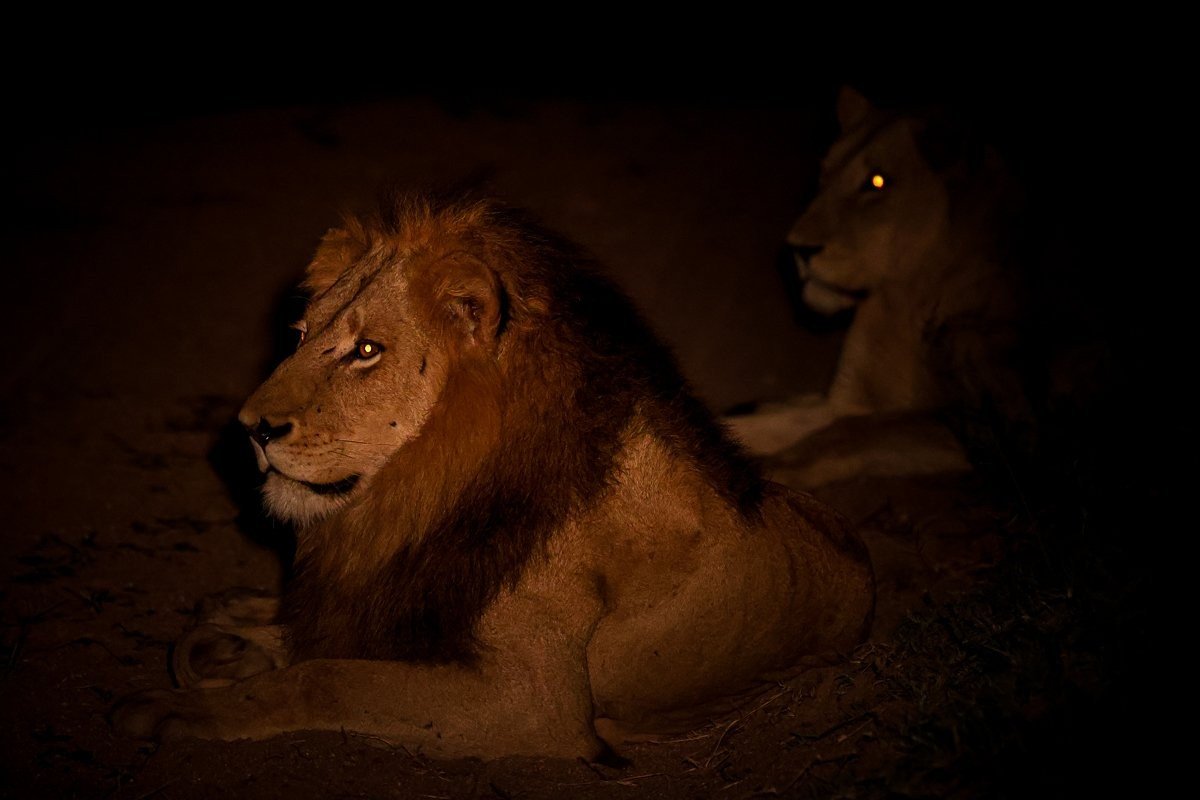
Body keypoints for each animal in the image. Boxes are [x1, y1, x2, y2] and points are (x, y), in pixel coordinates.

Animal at [112, 194, 874, 760]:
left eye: (367, 351)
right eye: (299, 336)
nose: (250, 428)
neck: (427, 486)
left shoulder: (535, 699)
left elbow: (323, 679)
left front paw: (183, 709)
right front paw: (230, 648)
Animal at [727, 88, 1029, 485]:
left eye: (877, 182)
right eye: (824, 174)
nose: (797, 249)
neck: (910, 300)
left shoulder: (981, 432)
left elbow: (845, 434)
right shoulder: (853, 401)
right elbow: (775, 424)